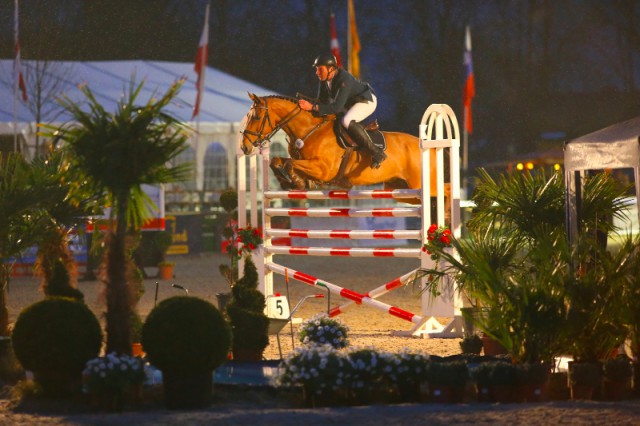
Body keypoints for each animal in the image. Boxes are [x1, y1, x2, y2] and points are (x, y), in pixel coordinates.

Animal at [238, 93, 448, 206]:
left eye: (256, 117)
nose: (244, 147)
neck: (309, 131)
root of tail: (429, 147)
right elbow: (278, 161)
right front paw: (289, 182)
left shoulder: (322, 169)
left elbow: (291, 164)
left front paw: (297, 182)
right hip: (402, 190)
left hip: (420, 185)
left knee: (445, 191)